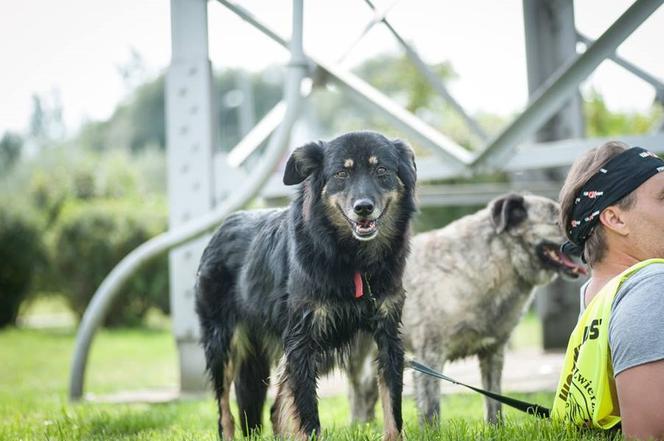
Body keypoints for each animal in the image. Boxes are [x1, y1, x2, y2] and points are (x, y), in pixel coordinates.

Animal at [195, 131, 418, 440]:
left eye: (382, 170)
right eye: (341, 174)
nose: (363, 208)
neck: (352, 260)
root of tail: (221, 229)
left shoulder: (388, 333)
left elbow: (392, 404)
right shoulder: (302, 341)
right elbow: (307, 413)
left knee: (275, 408)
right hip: (222, 344)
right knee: (224, 411)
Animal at [348, 192, 588, 422]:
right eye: (557, 221)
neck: (495, 261)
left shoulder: (492, 354)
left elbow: (494, 407)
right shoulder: (430, 357)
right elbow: (431, 412)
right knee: (356, 391)